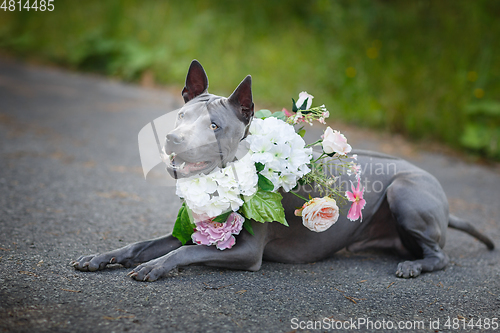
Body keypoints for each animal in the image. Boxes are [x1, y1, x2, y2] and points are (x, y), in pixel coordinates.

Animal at [71, 59, 496, 280]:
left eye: (214, 125)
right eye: (181, 115)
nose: (174, 138)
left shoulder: (246, 253)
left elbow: (186, 252)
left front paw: (155, 267)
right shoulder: (190, 228)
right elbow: (142, 244)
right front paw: (101, 257)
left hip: (405, 191)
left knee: (439, 255)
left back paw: (414, 266)